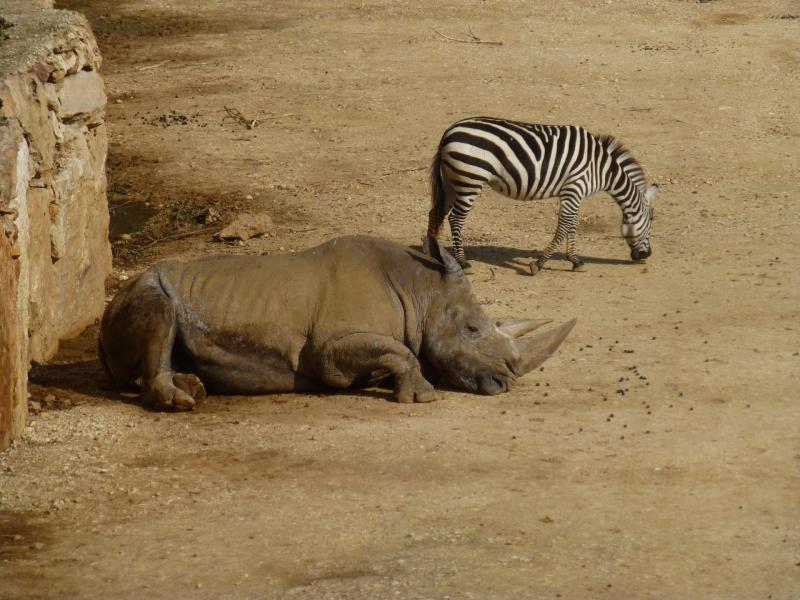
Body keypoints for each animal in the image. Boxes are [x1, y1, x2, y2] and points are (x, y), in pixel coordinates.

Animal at [424, 116, 656, 274]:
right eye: (652, 221)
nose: (648, 255)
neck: (601, 168)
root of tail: (449, 132)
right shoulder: (575, 187)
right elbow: (564, 226)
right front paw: (539, 263)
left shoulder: (574, 193)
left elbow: (572, 225)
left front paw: (575, 260)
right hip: (470, 179)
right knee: (455, 218)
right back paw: (463, 262)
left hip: (452, 180)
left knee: (436, 212)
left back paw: (432, 254)